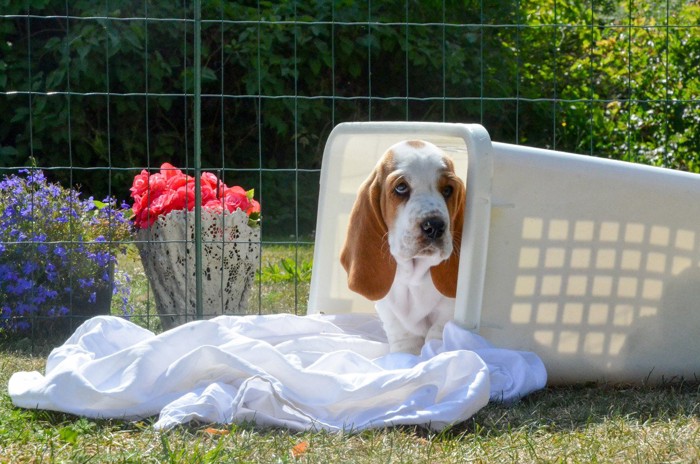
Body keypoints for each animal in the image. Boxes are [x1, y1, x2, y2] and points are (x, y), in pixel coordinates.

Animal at [340, 140, 464, 354]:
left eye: (448, 190)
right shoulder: (389, 311)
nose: (434, 226)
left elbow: (438, 332)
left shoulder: (448, 312)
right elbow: (403, 338)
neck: (413, 276)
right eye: (401, 187)